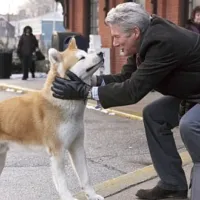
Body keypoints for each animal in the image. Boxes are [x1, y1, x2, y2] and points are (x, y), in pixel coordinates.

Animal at [0, 38, 104, 200]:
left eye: (87, 53)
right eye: (82, 58)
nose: (100, 53)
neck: (62, 102)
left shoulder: (77, 146)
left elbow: (85, 177)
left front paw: (92, 195)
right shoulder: (58, 151)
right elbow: (62, 181)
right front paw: (68, 197)